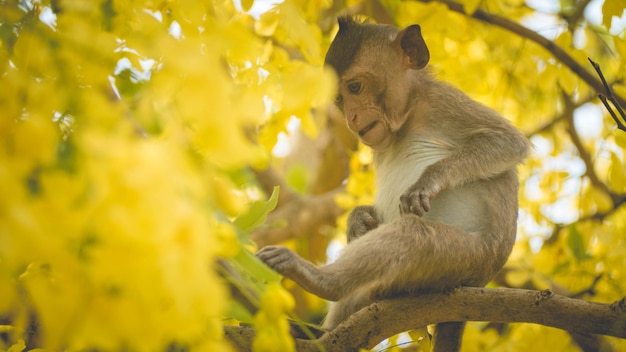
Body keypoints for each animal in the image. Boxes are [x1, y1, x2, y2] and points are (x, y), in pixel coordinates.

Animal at [254, 17, 528, 352]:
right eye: (340, 100)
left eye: (355, 87)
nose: (351, 118)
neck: (407, 118)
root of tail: (478, 283)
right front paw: (358, 218)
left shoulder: (443, 102)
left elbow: (509, 143)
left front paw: (428, 180)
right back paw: (319, 331)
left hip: (466, 259)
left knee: (414, 235)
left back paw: (321, 280)